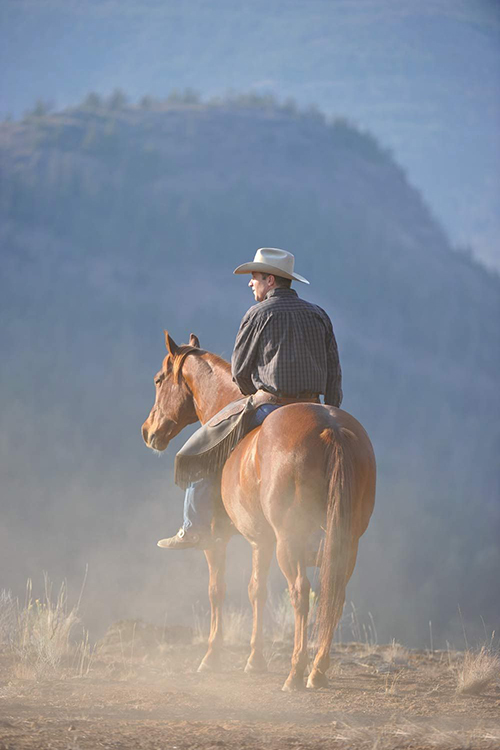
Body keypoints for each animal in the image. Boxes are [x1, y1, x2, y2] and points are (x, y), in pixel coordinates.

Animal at [142, 331, 376, 691]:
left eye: (158, 379)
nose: (148, 431)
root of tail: (331, 428)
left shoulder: (217, 541)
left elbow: (217, 590)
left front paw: (212, 656)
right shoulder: (260, 540)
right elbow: (257, 591)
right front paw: (255, 659)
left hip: (290, 539)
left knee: (300, 592)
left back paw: (295, 672)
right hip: (347, 539)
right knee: (333, 593)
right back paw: (318, 670)